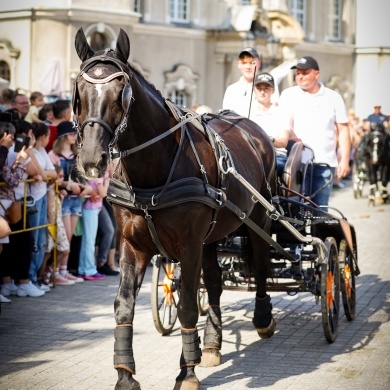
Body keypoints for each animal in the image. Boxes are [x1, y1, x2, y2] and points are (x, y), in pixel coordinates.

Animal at [74, 28, 278, 390]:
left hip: (258, 218)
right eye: (80, 92)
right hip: (212, 235)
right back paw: (211, 343)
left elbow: (186, 307)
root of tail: (253, 129)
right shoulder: (133, 246)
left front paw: (187, 373)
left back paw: (263, 318)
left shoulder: (188, 245)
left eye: (121, 93)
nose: (91, 160)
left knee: (261, 265)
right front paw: (125, 374)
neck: (154, 169)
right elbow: (124, 306)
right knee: (215, 283)